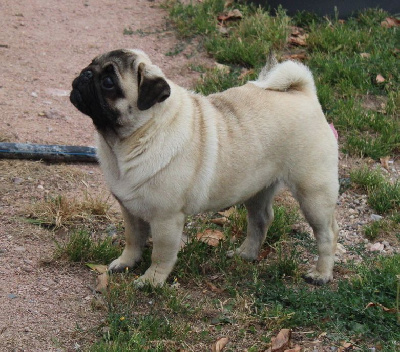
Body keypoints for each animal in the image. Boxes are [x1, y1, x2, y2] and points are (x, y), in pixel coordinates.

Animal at [70, 48, 340, 286]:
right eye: (91, 64)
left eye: (108, 82)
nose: (85, 74)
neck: (132, 140)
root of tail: (303, 94)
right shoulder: (130, 210)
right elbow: (133, 240)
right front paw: (126, 263)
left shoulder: (166, 219)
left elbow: (161, 254)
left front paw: (152, 281)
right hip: (257, 188)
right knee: (261, 220)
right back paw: (246, 255)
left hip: (313, 193)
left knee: (327, 234)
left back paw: (321, 274)